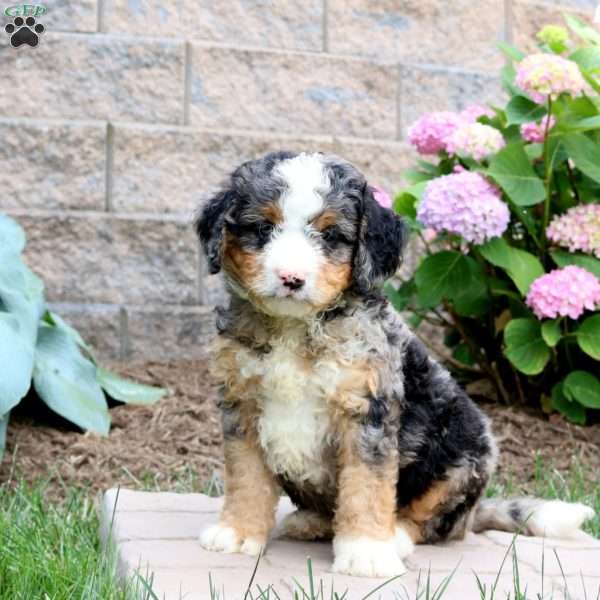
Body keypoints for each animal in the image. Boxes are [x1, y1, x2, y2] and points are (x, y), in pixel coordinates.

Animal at [197, 150, 596, 576]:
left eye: (330, 235)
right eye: (262, 228)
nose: (291, 277)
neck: (295, 328)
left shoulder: (368, 409)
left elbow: (366, 486)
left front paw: (366, 553)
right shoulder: (241, 404)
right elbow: (246, 477)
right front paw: (238, 533)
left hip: (465, 451)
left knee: (433, 521)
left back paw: (396, 537)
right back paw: (310, 522)